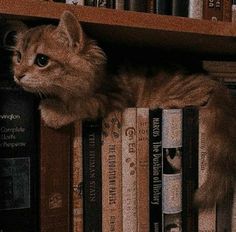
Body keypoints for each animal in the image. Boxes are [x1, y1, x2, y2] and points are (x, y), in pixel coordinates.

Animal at [12, 10, 236, 208]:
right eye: (18, 56)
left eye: (42, 60)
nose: (17, 74)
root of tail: (216, 83)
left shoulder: (110, 98)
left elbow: (80, 104)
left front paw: (52, 110)